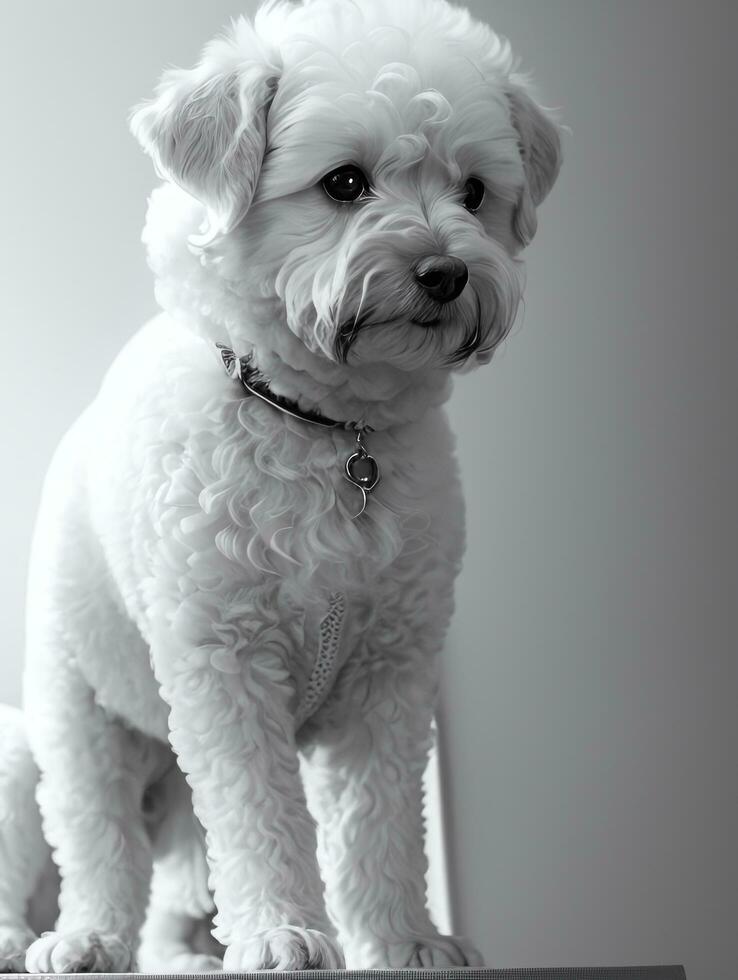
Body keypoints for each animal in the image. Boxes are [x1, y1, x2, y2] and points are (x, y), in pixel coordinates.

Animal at [18, 0, 556, 972]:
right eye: (344, 182)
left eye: (473, 192)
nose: (445, 272)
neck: (330, 433)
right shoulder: (225, 666)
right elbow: (261, 816)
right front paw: (283, 932)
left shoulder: (393, 672)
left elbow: (381, 821)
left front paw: (405, 939)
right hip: (79, 717)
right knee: (99, 842)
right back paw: (82, 939)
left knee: (177, 882)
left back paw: (188, 949)